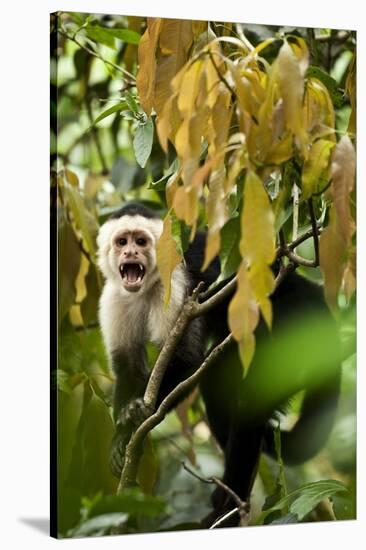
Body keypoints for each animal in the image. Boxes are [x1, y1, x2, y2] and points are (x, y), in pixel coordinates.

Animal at [97, 203, 340, 532]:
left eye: (141, 241)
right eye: (122, 241)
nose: (130, 254)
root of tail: (312, 293)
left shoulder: (178, 283)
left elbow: (186, 359)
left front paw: (133, 420)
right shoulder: (114, 297)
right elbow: (128, 366)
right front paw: (119, 438)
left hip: (292, 322)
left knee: (249, 397)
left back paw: (228, 509)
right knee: (219, 384)